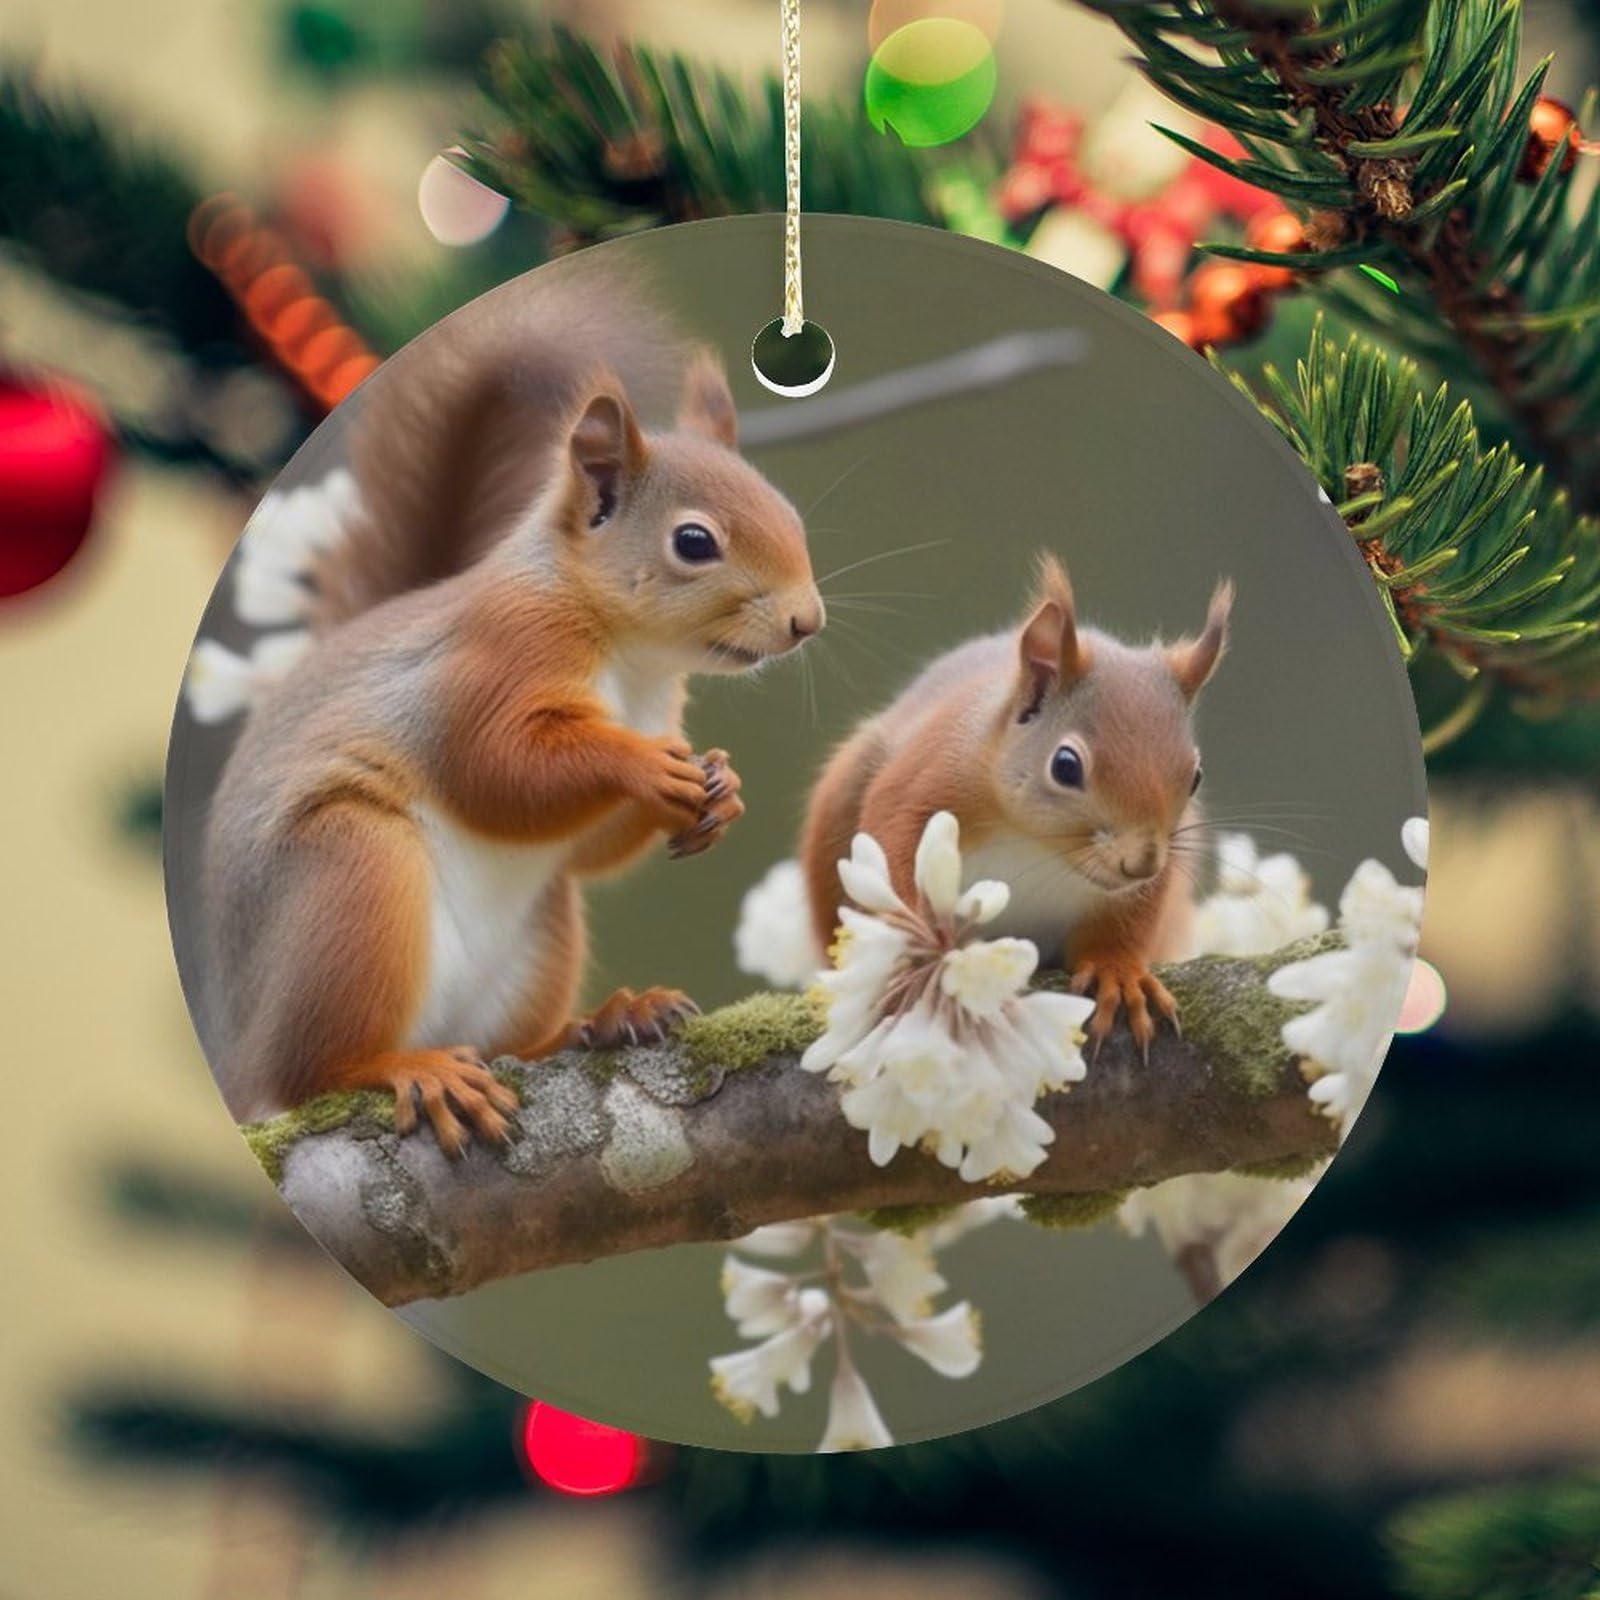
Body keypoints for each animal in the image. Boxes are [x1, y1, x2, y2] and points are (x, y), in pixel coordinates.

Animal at [195, 267, 824, 1156]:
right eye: (695, 543)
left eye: (790, 515)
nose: (808, 620)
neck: (631, 659)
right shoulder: (495, 659)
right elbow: (493, 770)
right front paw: (640, 765)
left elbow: (587, 845)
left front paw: (719, 788)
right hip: (350, 876)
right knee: (315, 1069)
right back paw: (407, 1069)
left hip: (540, 939)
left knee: (510, 1039)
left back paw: (602, 1021)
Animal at [800, 555, 1230, 1051]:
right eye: (1065, 766)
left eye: (1195, 777)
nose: (1141, 863)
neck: (1034, 842)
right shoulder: (928, 775)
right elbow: (892, 837)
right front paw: (914, 949)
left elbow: (1127, 923)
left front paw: (1117, 972)